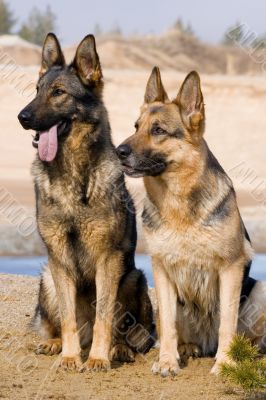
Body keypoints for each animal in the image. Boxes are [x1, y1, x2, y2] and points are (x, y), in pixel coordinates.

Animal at [17, 33, 154, 372]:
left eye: (59, 92)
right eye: (37, 90)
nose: (22, 117)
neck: (73, 174)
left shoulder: (108, 259)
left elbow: (105, 316)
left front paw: (98, 359)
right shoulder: (59, 260)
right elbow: (68, 318)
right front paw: (69, 357)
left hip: (133, 278)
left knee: (123, 330)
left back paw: (117, 349)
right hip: (47, 278)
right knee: (63, 325)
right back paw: (55, 344)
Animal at [117, 67, 266, 376]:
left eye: (158, 130)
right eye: (136, 126)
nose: (118, 151)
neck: (179, 208)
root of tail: (205, 343)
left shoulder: (231, 268)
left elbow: (227, 324)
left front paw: (226, 363)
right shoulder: (161, 269)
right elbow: (168, 325)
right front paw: (167, 361)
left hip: (259, 291)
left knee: (242, 335)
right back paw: (186, 349)